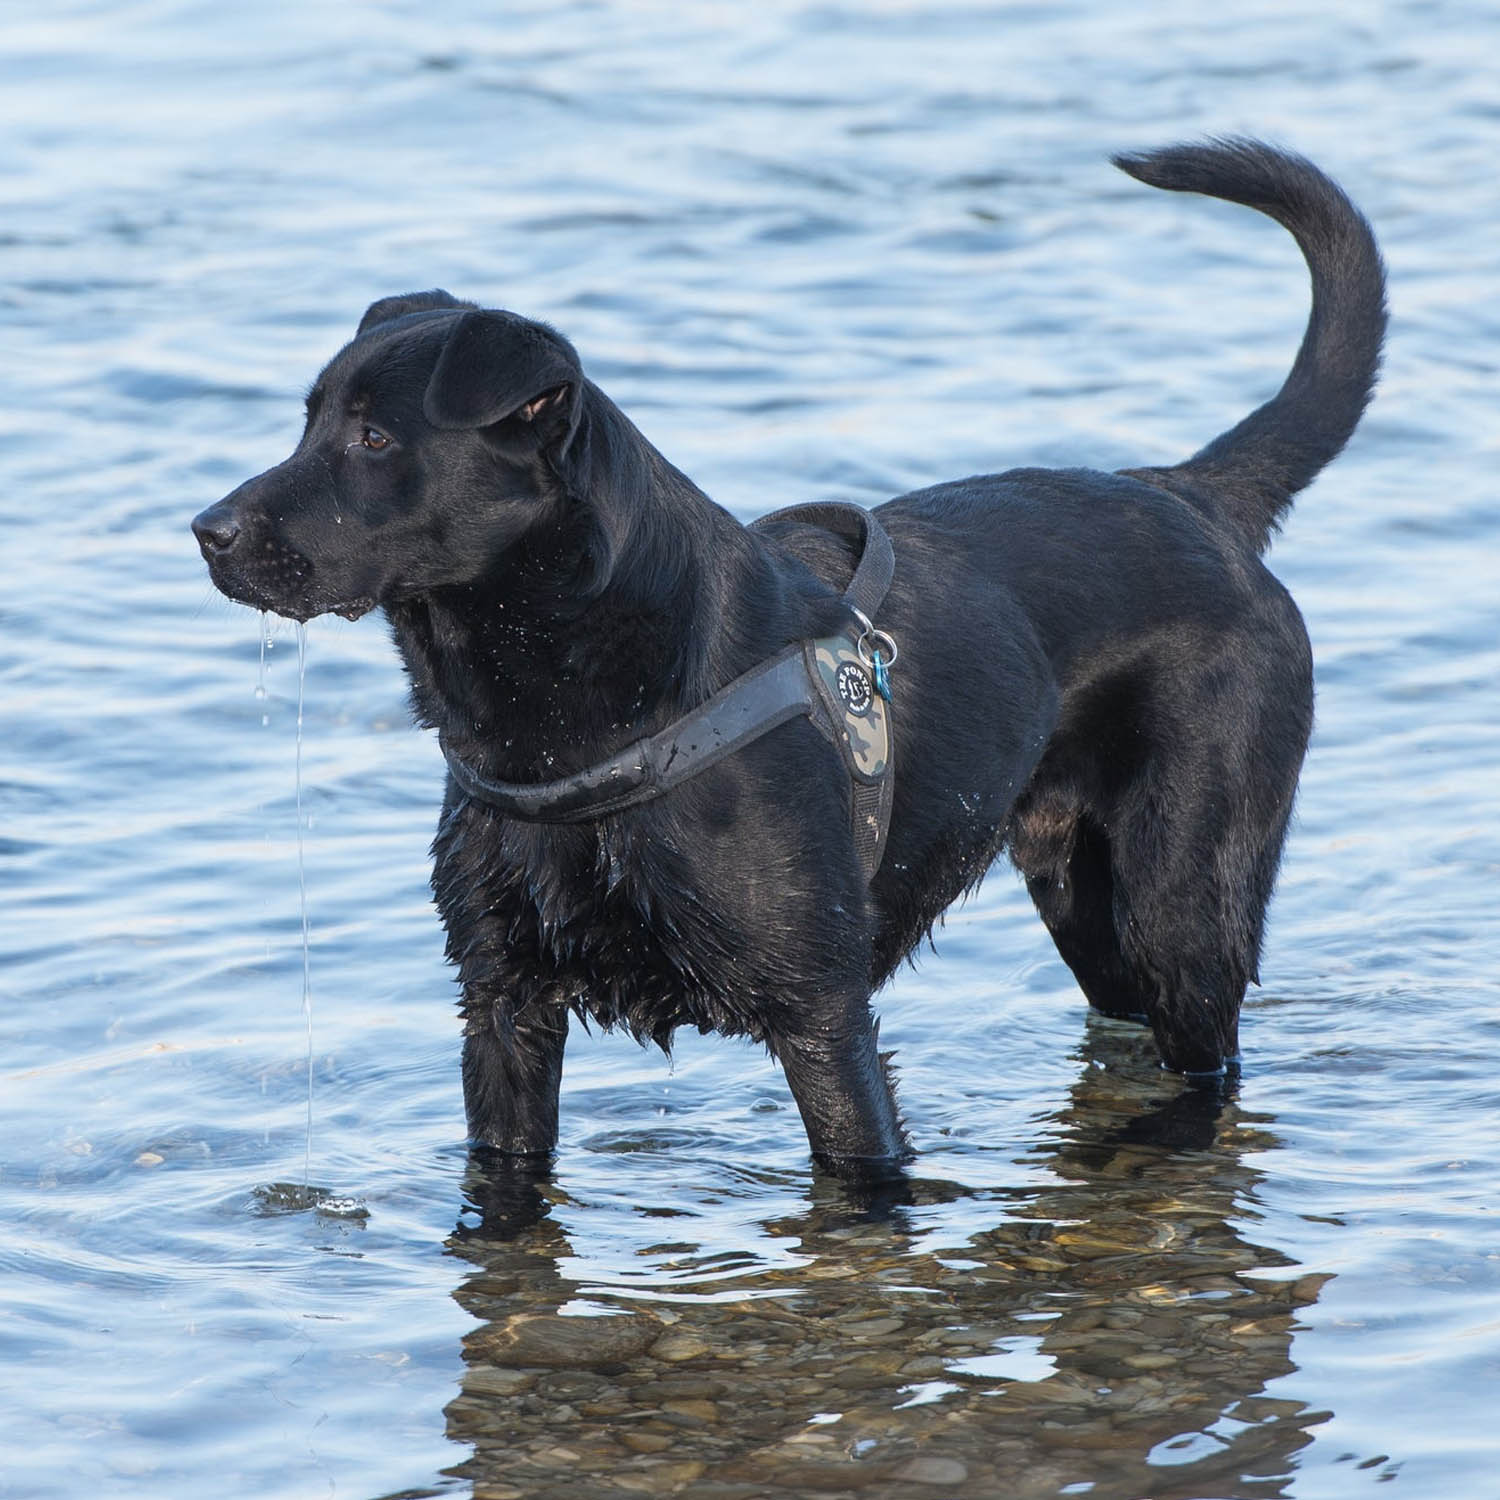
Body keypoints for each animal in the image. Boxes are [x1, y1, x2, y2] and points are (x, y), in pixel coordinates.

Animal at [193, 138, 1386, 1170]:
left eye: (373, 439)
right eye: (308, 422)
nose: (207, 530)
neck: (588, 708)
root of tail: (1194, 496)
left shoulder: (822, 1020)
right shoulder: (501, 1006)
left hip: (1183, 896)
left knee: (1212, 1063)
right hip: (1081, 892)